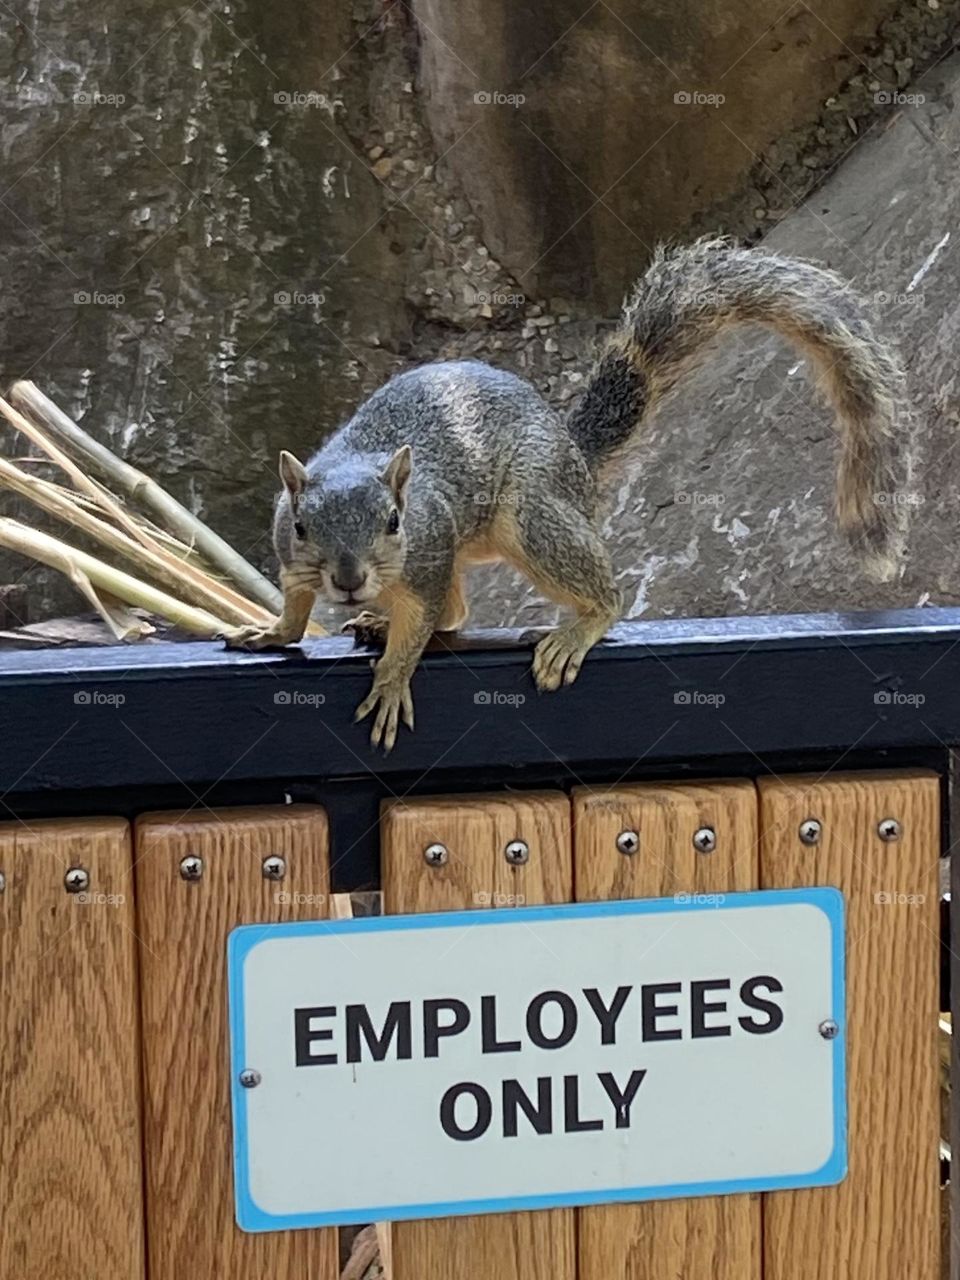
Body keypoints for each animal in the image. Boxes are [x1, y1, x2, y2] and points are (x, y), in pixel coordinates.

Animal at [226, 237, 904, 752]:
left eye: (395, 522)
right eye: (303, 527)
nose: (347, 581)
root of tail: (573, 454)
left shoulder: (428, 549)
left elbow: (418, 626)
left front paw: (391, 680)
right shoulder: (292, 556)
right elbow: (296, 606)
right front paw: (273, 632)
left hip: (533, 513)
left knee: (573, 594)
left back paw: (578, 627)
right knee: (457, 612)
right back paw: (374, 620)